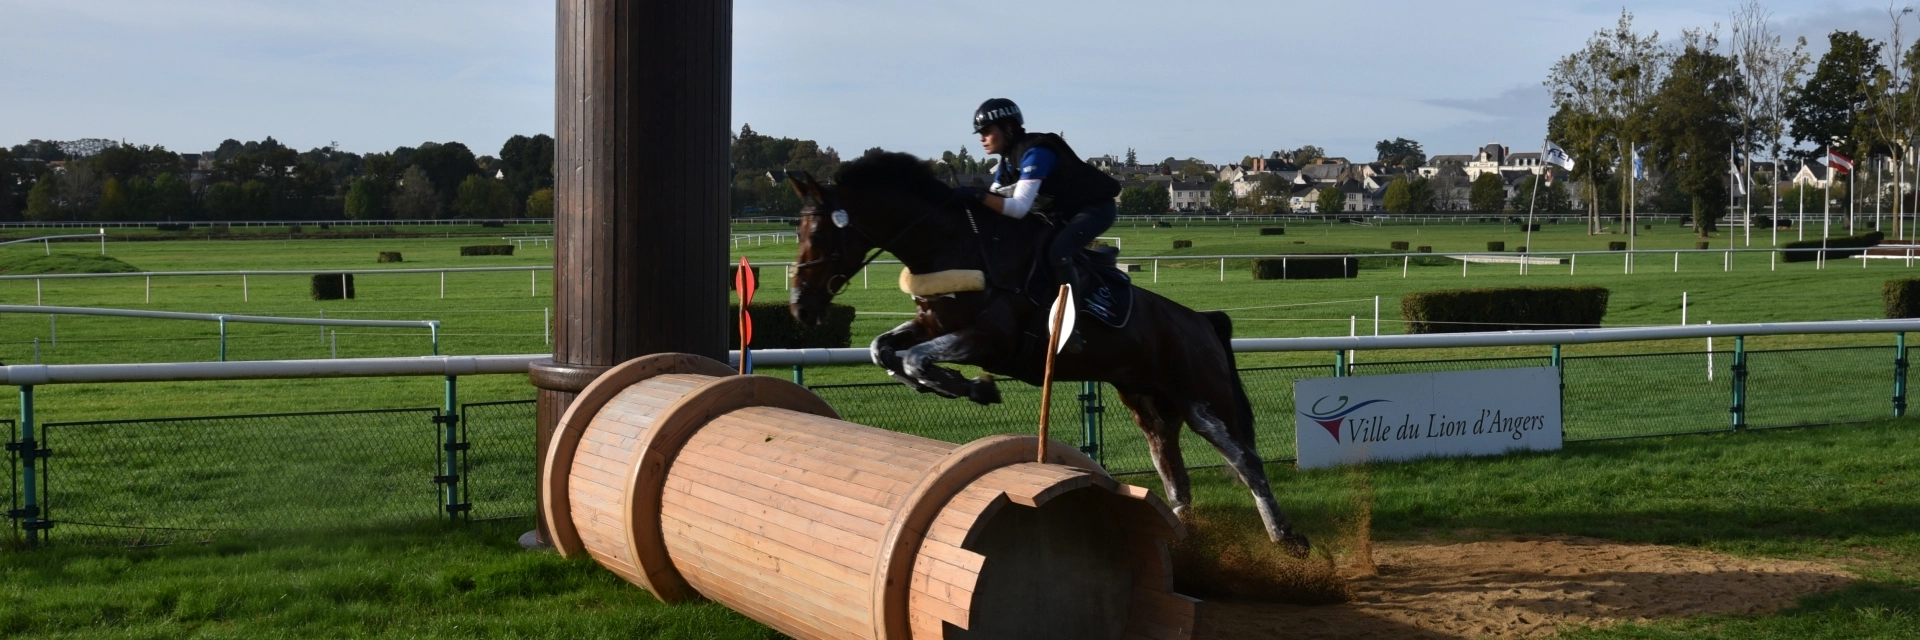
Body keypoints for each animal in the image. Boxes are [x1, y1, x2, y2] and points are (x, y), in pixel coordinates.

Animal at [779, 150, 1305, 553]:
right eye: (797, 233)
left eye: (820, 234)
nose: (801, 306)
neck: (957, 244)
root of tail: (1201, 320)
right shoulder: (935, 324)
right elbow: (883, 350)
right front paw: (956, 385)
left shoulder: (990, 340)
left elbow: (913, 357)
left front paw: (972, 387)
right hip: (1150, 402)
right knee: (1171, 465)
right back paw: (1182, 535)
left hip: (1201, 397)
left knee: (1246, 461)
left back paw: (1285, 538)